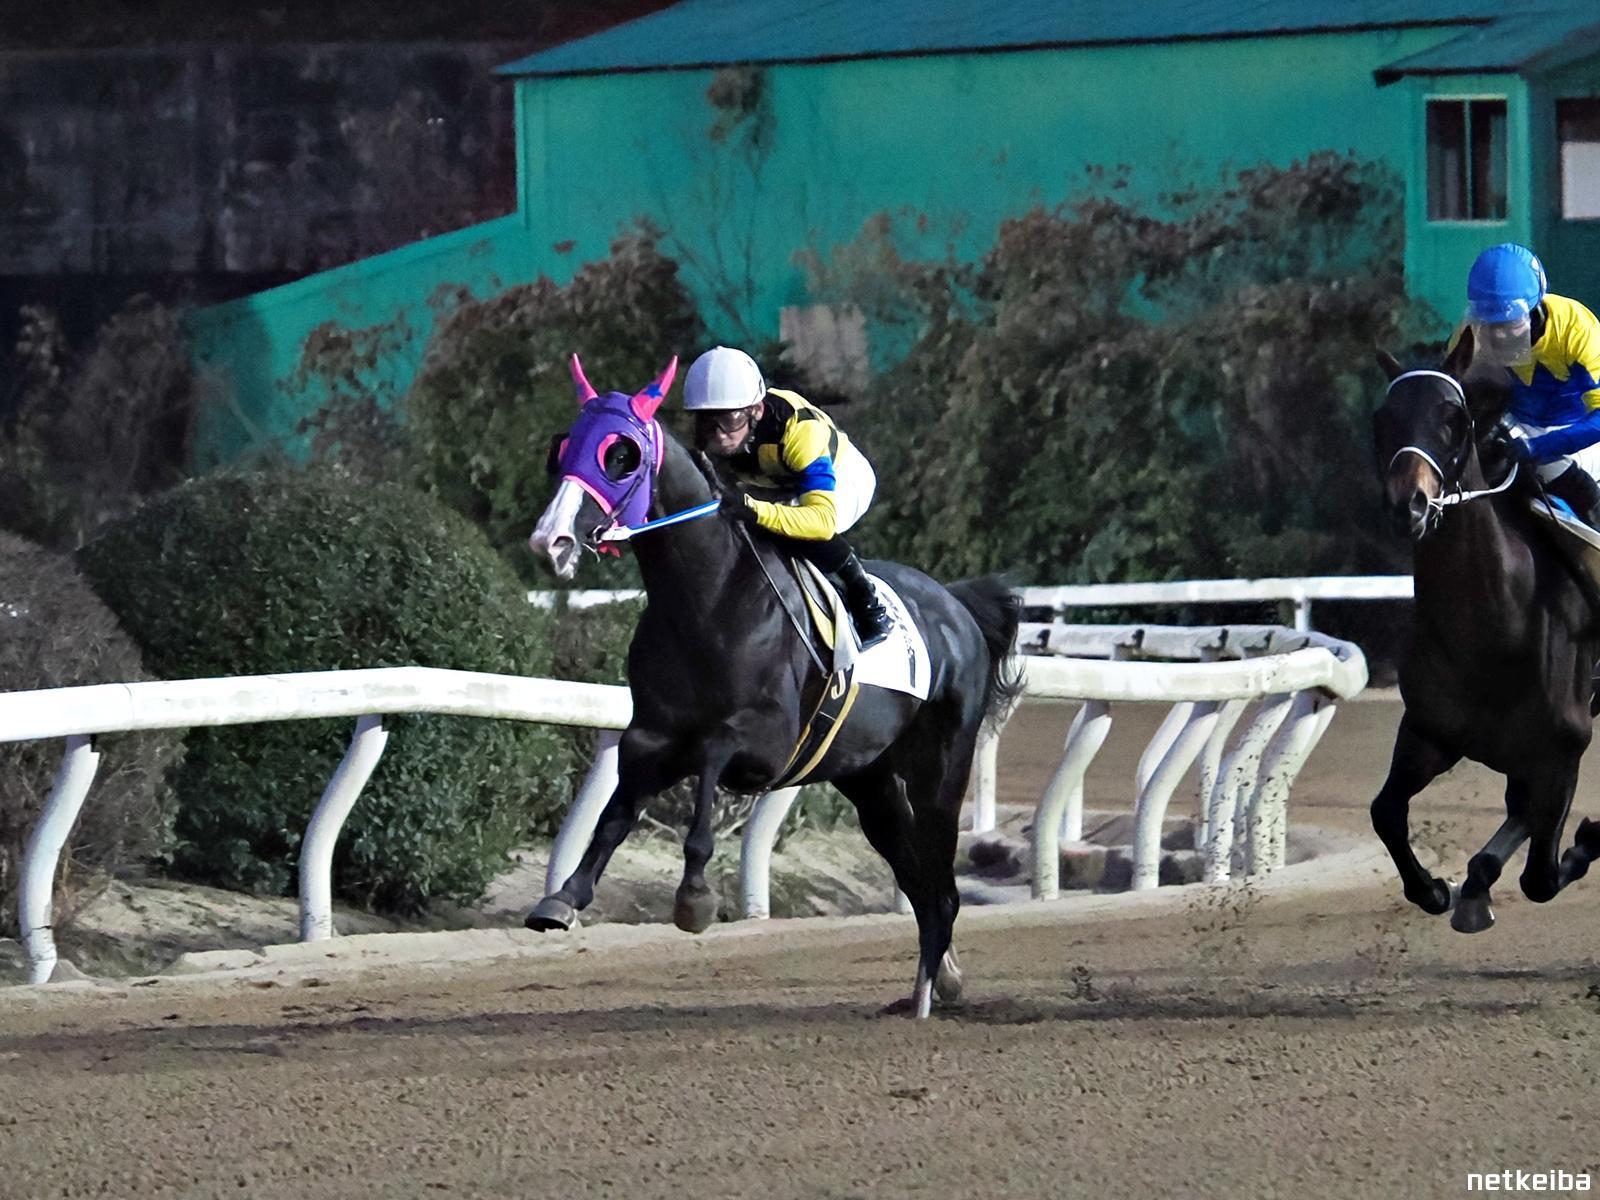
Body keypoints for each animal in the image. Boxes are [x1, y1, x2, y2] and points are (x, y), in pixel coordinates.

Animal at [526, 355, 1022, 1016]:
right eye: (562, 448)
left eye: (621, 454)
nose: (550, 541)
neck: (706, 601)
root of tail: (960, 608)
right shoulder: (648, 737)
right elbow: (613, 814)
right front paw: (564, 898)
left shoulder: (762, 745)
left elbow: (709, 769)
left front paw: (694, 898)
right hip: (871, 783)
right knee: (918, 879)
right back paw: (933, 983)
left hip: (939, 772)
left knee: (941, 883)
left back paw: (925, 995)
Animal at [1370, 326, 1600, 932]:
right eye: (1383, 418)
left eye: (1455, 417)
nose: (1409, 503)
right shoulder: (1430, 732)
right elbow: (1385, 811)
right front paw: (1437, 888)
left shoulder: (1564, 747)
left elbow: (1540, 877)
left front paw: (1587, 840)